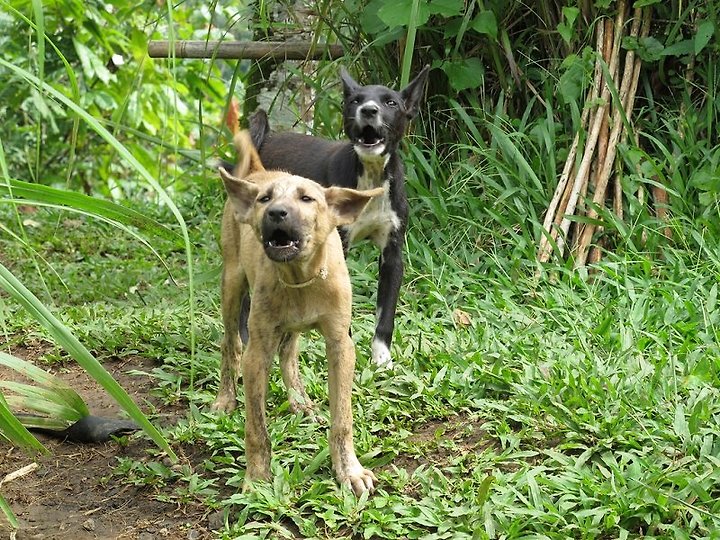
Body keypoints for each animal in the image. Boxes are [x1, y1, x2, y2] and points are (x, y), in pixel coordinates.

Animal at [212, 130, 386, 494]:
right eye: (264, 200)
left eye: (307, 199)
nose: (276, 212)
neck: (300, 278)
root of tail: (258, 172)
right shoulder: (257, 353)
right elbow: (256, 427)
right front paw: (257, 478)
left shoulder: (340, 344)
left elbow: (342, 418)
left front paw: (348, 470)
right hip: (232, 281)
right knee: (230, 344)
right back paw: (225, 399)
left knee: (289, 353)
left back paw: (301, 403)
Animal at [245, 66, 430, 368]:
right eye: (354, 101)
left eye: (391, 103)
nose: (369, 110)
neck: (370, 177)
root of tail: (268, 138)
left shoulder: (392, 255)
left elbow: (386, 315)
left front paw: (382, 360)